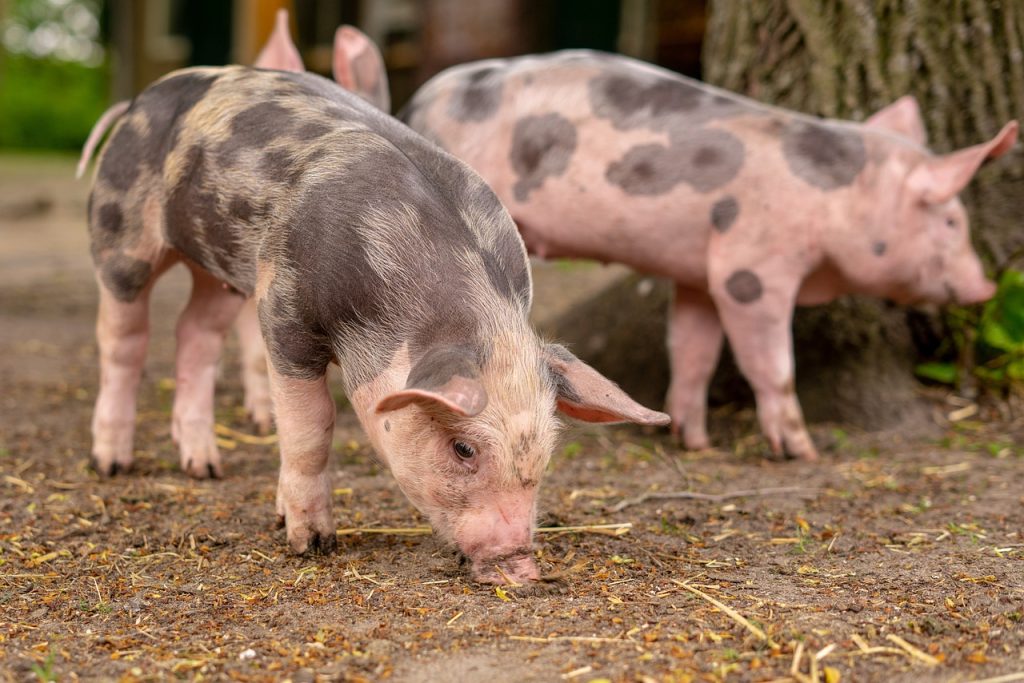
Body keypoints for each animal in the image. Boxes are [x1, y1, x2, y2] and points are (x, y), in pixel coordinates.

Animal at [76, 61, 668, 583]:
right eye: (463, 448)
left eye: (546, 448)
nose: (521, 567)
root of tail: (137, 102)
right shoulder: (282, 310)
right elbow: (310, 427)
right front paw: (310, 542)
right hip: (120, 236)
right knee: (123, 340)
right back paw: (111, 463)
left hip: (219, 267)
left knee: (194, 333)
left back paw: (204, 467)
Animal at [398, 50, 1019, 461]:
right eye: (951, 220)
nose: (987, 286)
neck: (837, 197)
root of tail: (419, 102)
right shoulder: (751, 269)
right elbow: (772, 364)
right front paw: (803, 452)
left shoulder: (697, 273)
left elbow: (694, 349)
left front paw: (691, 440)